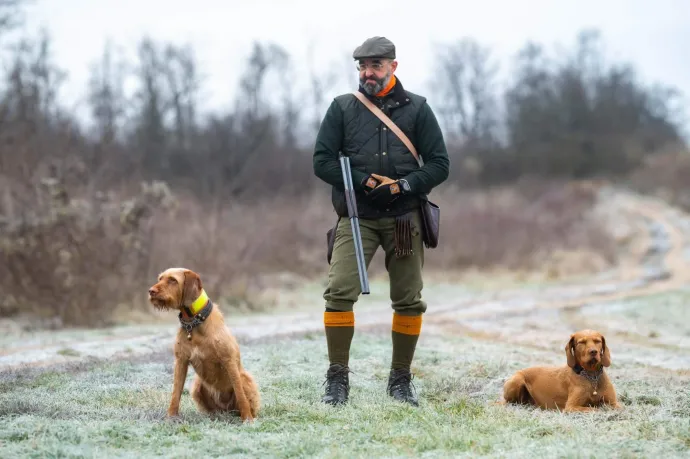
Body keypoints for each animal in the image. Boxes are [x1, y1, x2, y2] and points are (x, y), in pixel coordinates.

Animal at [149, 268, 260, 422]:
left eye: (173, 280)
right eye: (160, 278)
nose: (151, 291)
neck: (193, 323)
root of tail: (225, 410)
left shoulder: (229, 361)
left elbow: (240, 394)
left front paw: (247, 419)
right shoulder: (181, 361)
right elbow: (176, 393)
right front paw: (171, 417)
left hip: (245, 378)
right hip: (197, 385)